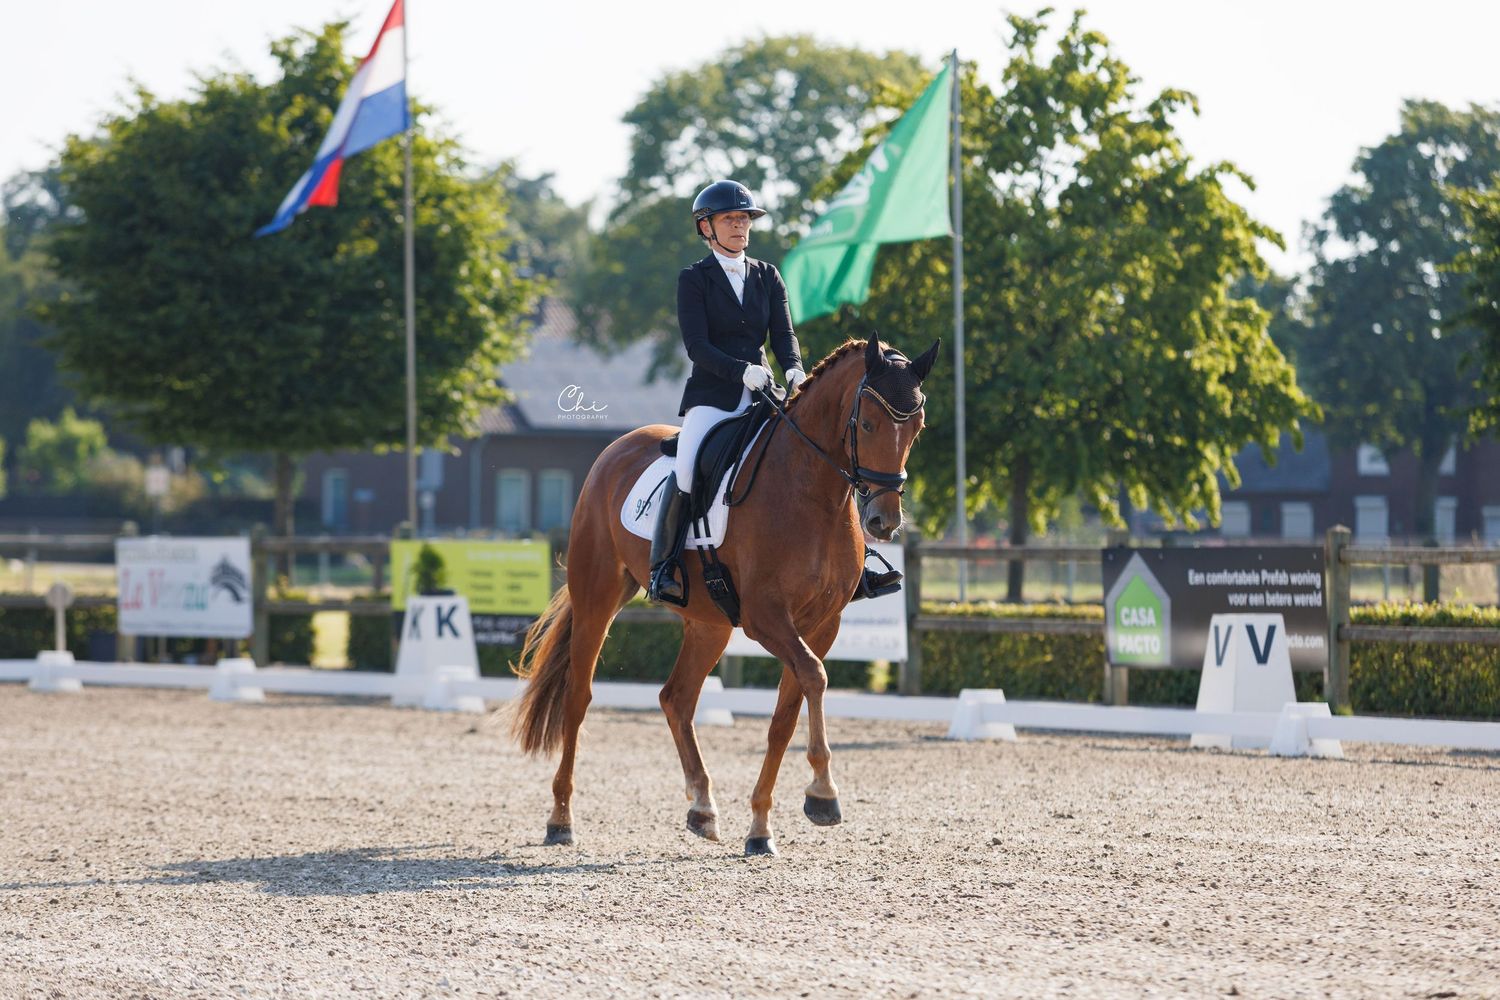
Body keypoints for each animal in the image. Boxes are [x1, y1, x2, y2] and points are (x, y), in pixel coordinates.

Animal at [509, 334, 939, 856]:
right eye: (869, 422)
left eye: (916, 427)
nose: (883, 521)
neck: (811, 491)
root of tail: (613, 452)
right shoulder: (765, 618)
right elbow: (815, 678)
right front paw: (823, 794)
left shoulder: (822, 623)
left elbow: (786, 714)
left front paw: (761, 827)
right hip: (598, 596)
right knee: (579, 695)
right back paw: (561, 819)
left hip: (708, 623)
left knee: (676, 698)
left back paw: (702, 808)